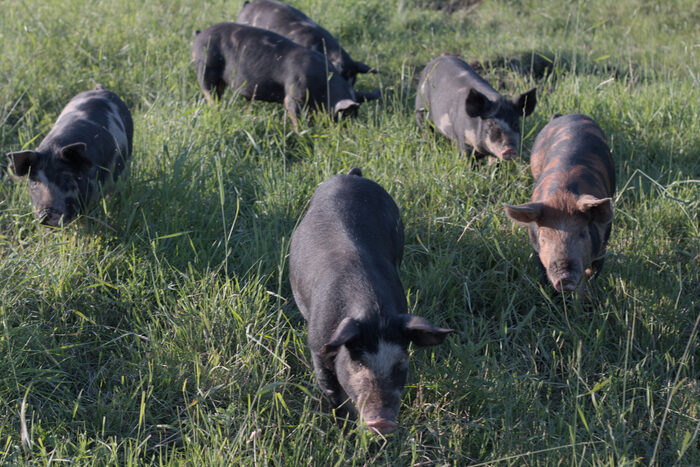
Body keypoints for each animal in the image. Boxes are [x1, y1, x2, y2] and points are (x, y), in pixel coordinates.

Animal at [192, 23, 378, 128]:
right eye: (345, 117)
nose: (352, 133)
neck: (325, 87)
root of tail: (199, 35)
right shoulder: (294, 95)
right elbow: (296, 117)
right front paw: (303, 133)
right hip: (205, 67)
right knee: (210, 94)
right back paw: (216, 109)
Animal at [289, 167, 453, 434]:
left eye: (400, 365)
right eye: (358, 362)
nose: (383, 421)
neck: (373, 312)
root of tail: (352, 175)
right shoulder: (317, 345)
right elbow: (333, 392)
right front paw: (344, 431)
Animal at [503, 114, 615, 297]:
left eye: (582, 233)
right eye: (544, 237)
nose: (565, 279)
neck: (562, 197)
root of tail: (569, 115)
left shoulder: (602, 246)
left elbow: (591, 277)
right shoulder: (536, 250)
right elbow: (543, 274)